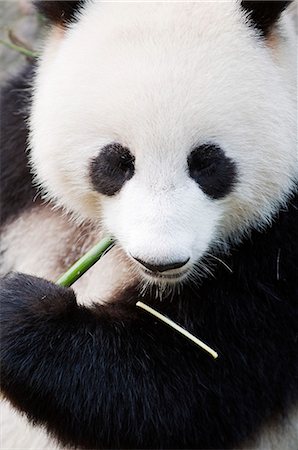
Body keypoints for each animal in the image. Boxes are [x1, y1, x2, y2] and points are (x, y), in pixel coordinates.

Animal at [0, 0, 296, 448]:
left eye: (207, 164)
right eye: (117, 162)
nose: (160, 262)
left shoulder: (281, 249)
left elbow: (176, 391)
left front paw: (21, 310)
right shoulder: (14, 154)